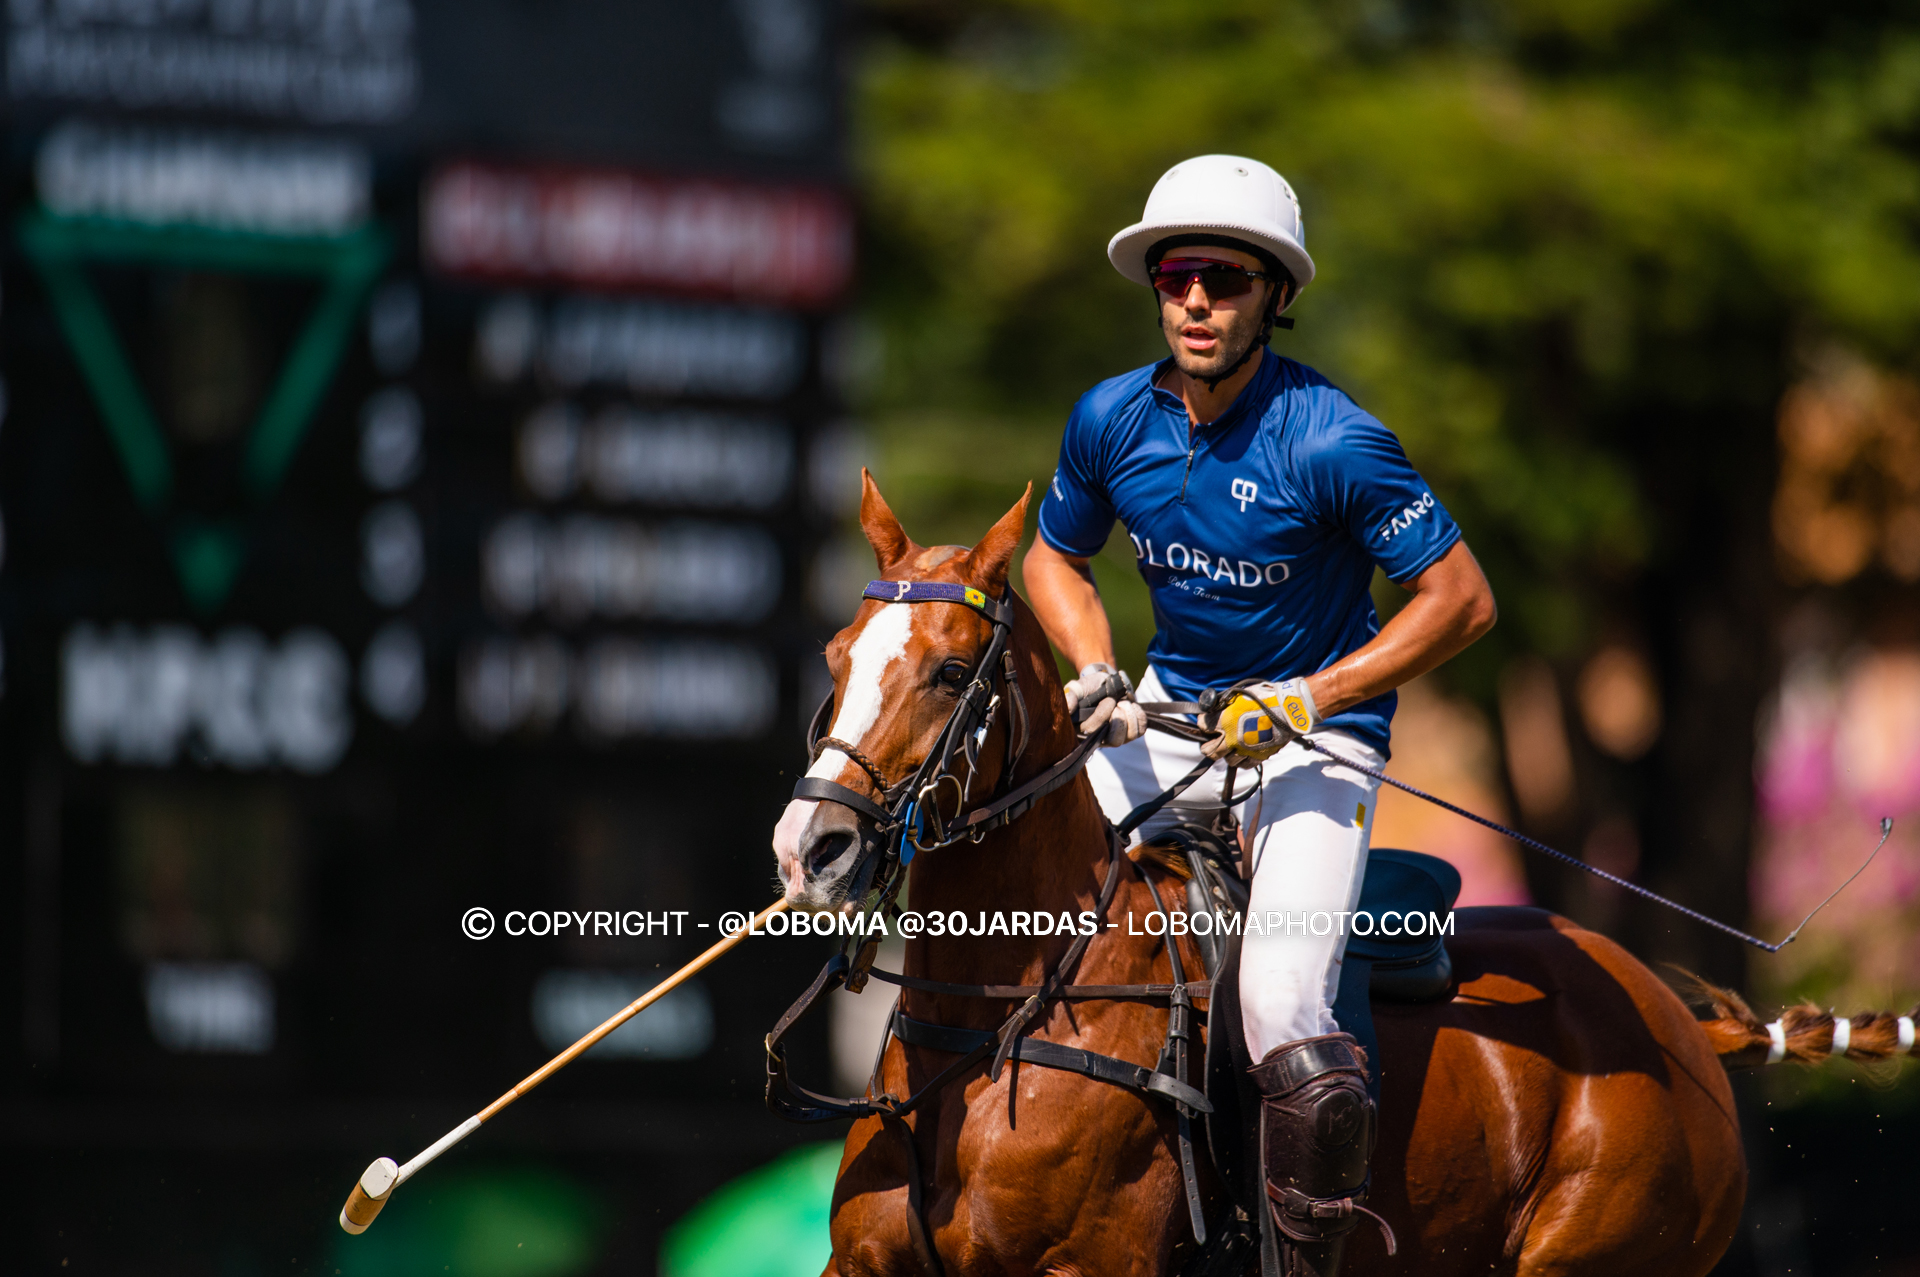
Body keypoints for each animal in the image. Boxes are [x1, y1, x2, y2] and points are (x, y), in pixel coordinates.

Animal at [768, 476, 1904, 1275]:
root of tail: (1689, 1027)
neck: (994, 1013)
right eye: (833, 655)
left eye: (954, 671)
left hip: (1599, 1246)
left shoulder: (1089, 1263)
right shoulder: (862, 1261)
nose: (810, 847)